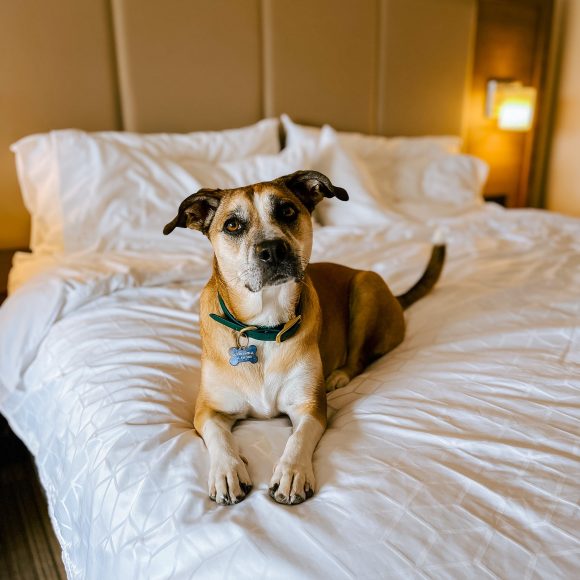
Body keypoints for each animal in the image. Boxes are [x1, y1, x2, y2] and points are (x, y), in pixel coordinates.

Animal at [164, 171, 445, 506]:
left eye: (286, 211)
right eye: (232, 225)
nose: (272, 249)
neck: (263, 327)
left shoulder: (309, 406)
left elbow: (299, 437)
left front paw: (291, 473)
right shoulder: (208, 410)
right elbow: (219, 437)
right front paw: (227, 472)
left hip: (366, 286)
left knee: (358, 359)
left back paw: (338, 376)